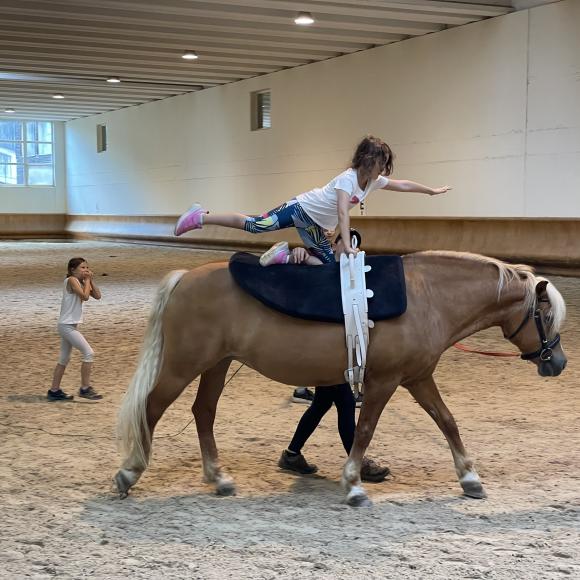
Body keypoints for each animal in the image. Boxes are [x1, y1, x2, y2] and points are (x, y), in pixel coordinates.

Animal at [114, 251, 568, 506]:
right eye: (544, 315)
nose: (559, 362)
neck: (428, 297)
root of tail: (184, 278)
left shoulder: (418, 378)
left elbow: (447, 422)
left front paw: (470, 478)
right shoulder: (384, 382)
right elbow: (364, 428)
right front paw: (353, 485)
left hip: (217, 364)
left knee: (203, 411)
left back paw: (219, 477)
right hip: (184, 365)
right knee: (152, 408)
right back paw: (130, 472)